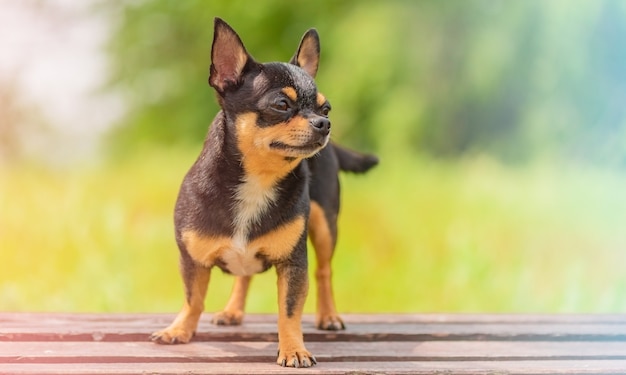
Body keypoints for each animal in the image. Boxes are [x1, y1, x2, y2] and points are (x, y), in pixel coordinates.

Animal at [151, 19, 376, 368]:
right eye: (281, 105)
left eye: (326, 107)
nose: (324, 122)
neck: (259, 179)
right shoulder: (192, 259)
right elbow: (193, 298)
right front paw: (180, 330)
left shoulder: (294, 263)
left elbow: (289, 310)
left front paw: (293, 349)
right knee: (244, 276)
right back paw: (232, 311)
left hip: (325, 226)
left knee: (324, 271)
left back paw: (328, 316)